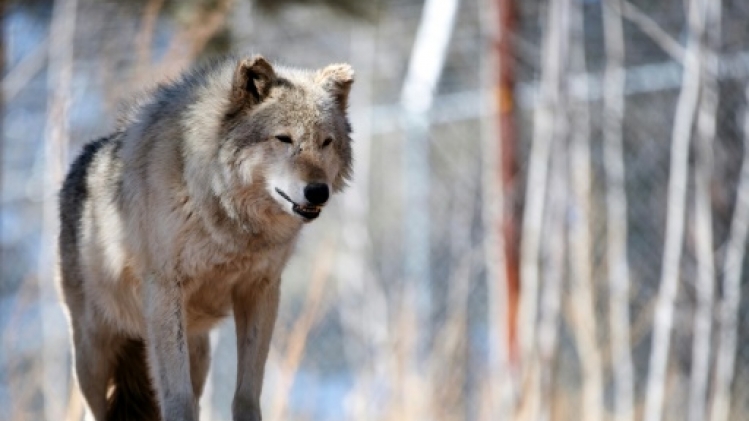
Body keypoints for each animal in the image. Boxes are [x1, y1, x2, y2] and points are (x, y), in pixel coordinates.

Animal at [58, 55, 354, 421]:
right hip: (93, 360)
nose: (318, 192)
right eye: (283, 138)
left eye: (326, 142)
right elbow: (177, 398)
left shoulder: (261, 290)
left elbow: (246, 393)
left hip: (197, 353)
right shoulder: (165, 291)